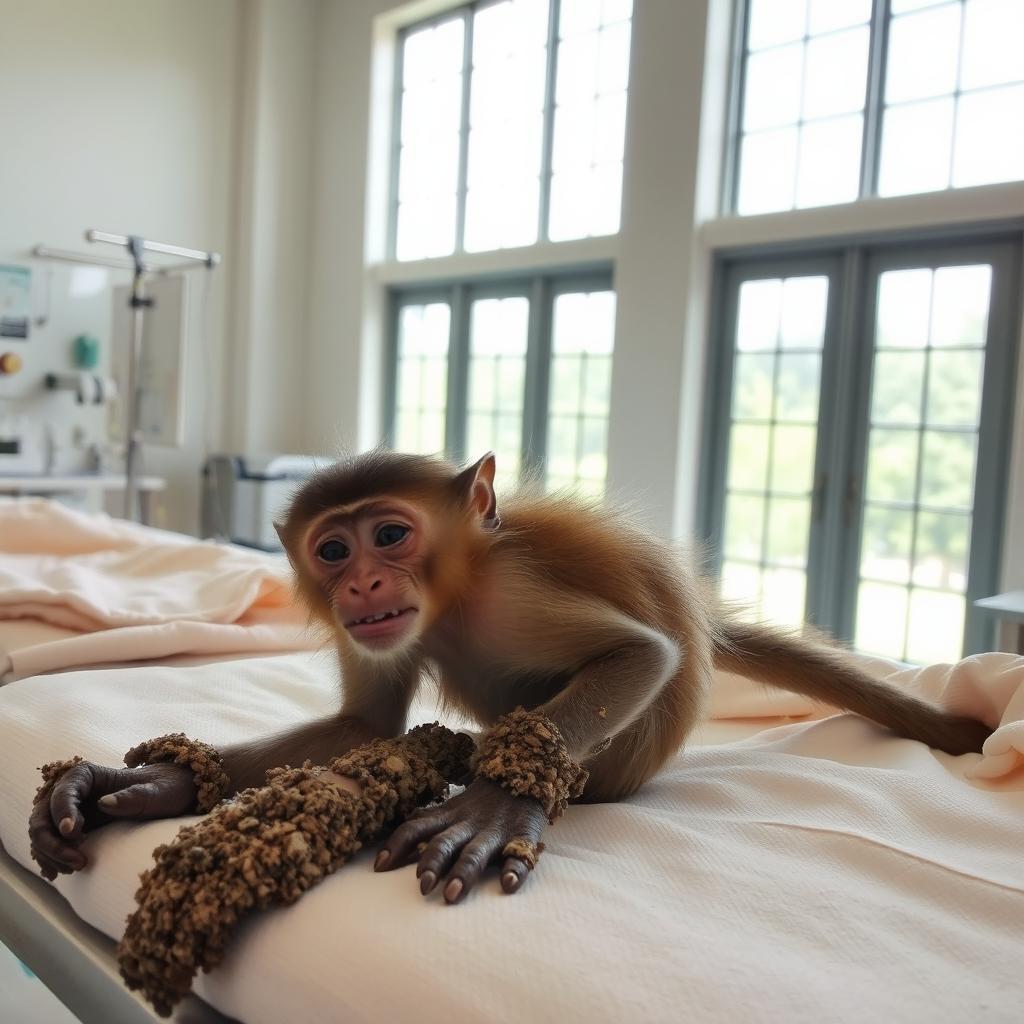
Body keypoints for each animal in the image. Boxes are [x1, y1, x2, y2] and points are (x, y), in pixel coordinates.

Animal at [30, 449, 991, 903]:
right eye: (333, 550)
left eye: (390, 536)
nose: (361, 586)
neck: (452, 595)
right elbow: (366, 728)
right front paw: (157, 779)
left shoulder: (512, 594)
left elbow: (642, 655)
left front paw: (497, 804)